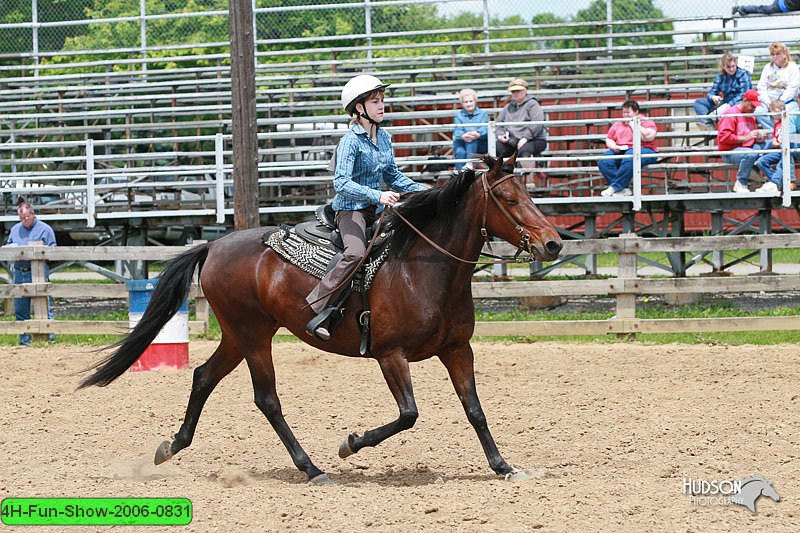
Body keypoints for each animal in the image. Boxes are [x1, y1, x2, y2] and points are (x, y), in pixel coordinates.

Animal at [78, 153, 560, 482]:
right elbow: (409, 413)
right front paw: (350, 444)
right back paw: (311, 468)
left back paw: (171, 447)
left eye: (529, 193)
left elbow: (475, 410)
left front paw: (503, 465)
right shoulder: (390, 355)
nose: (553, 244)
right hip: (253, 336)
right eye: (509, 198)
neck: (421, 268)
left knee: (202, 377)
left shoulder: (458, 350)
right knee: (266, 399)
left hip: (237, 335)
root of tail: (213, 245)